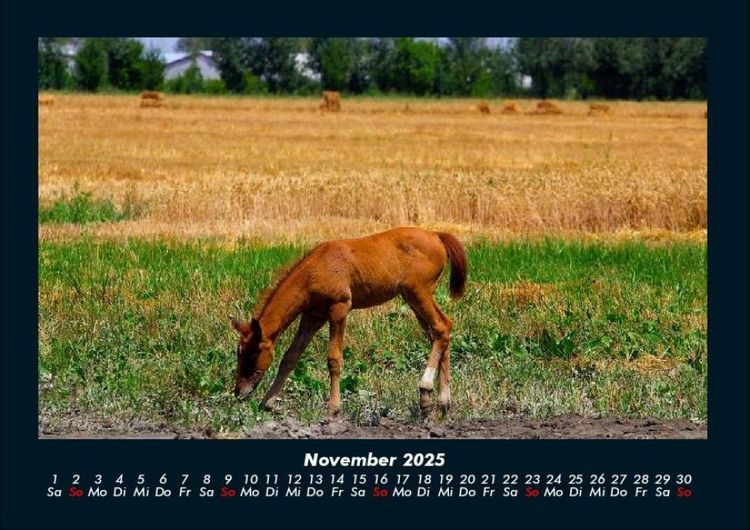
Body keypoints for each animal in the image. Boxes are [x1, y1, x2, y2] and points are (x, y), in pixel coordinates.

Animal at [230, 227, 467, 417]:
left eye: (253, 353)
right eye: (239, 353)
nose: (239, 392)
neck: (315, 269)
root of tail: (436, 235)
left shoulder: (339, 307)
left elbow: (334, 359)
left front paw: (333, 408)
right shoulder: (312, 316)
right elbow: (290, 357)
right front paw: (267, 403)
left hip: (419, 292)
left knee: (441, 328)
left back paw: (426, 390)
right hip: (413, 299)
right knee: (440, 331)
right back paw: (441, 402)